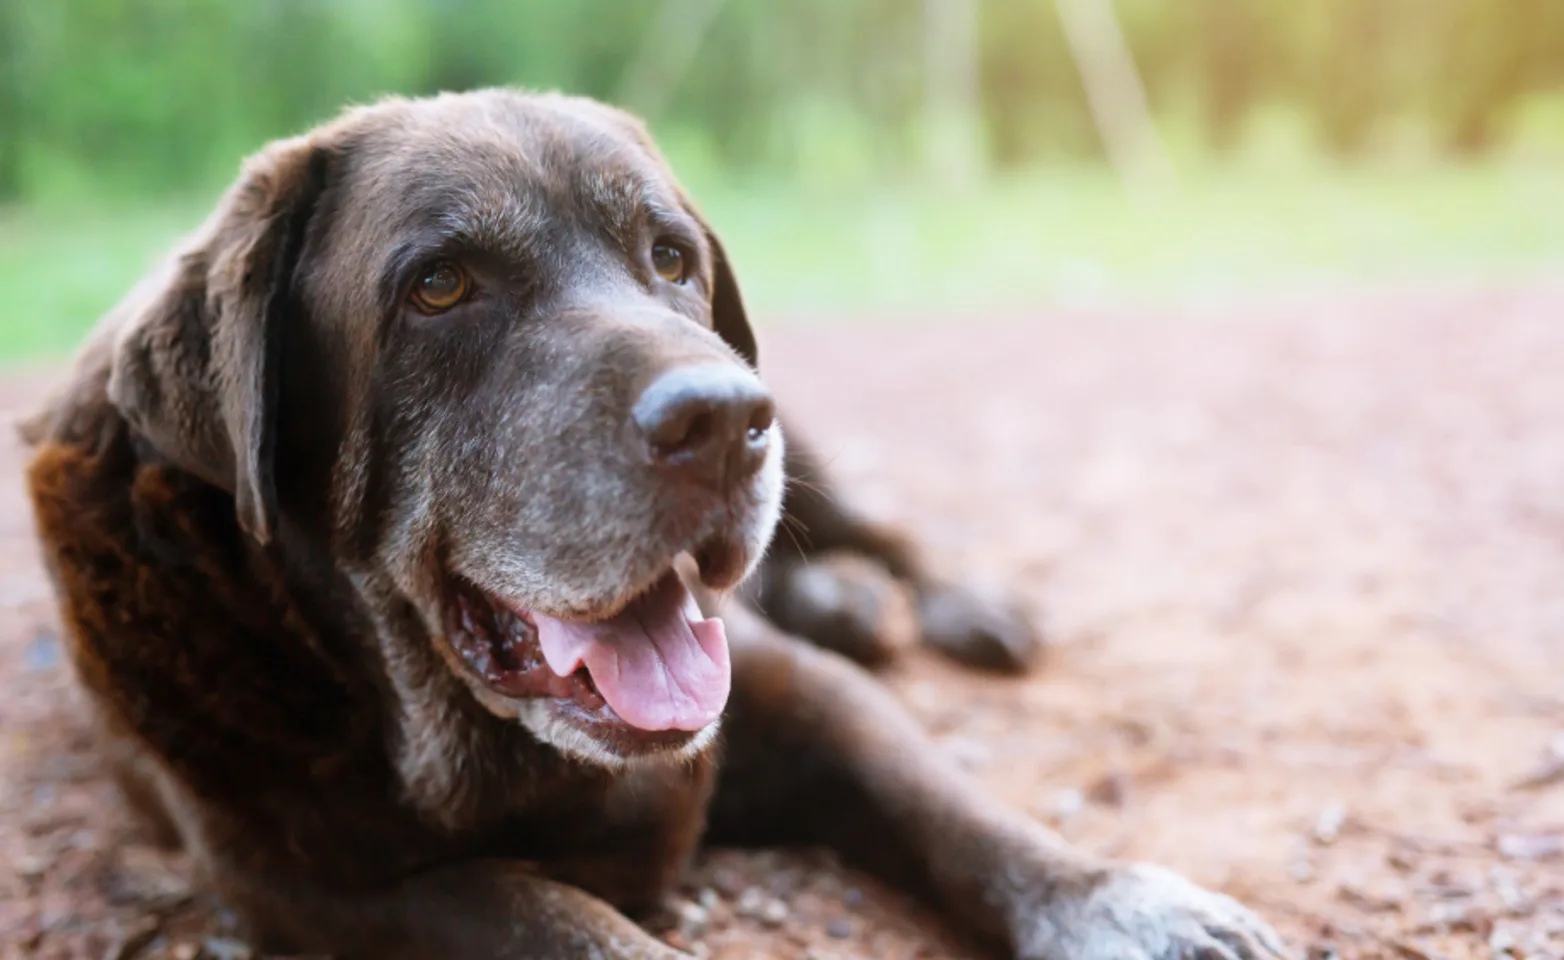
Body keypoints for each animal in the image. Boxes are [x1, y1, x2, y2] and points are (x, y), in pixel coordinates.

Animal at [18, 92, 1282, 960]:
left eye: (670, 258)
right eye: (438, 288)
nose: (722, 420)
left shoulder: (795, 693)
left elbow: (951, 806)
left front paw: (1123, 903)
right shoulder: (306, 884)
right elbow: (540, 909)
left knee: (878, 533)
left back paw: (949, 604)